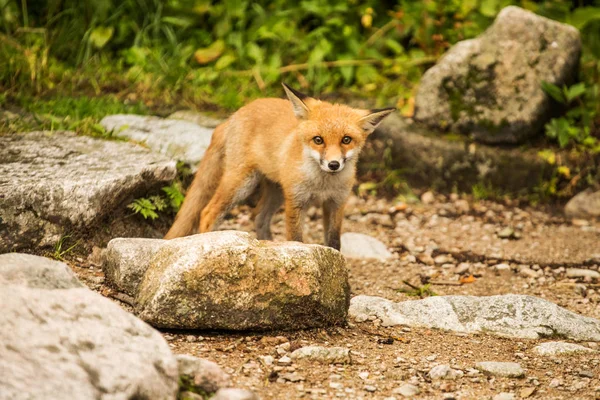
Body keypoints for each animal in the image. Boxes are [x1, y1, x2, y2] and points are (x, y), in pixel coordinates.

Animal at [164, 83, 396, 248]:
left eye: (346, 140)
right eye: (318, 140)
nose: (333, 164)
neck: (322, 185)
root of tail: (233, 116)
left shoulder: (336, 203)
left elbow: (333, 242)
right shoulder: (296, 201)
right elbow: (296, 239)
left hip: (275, 191)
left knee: (259, 217)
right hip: (242, 184)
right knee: (208, 212)